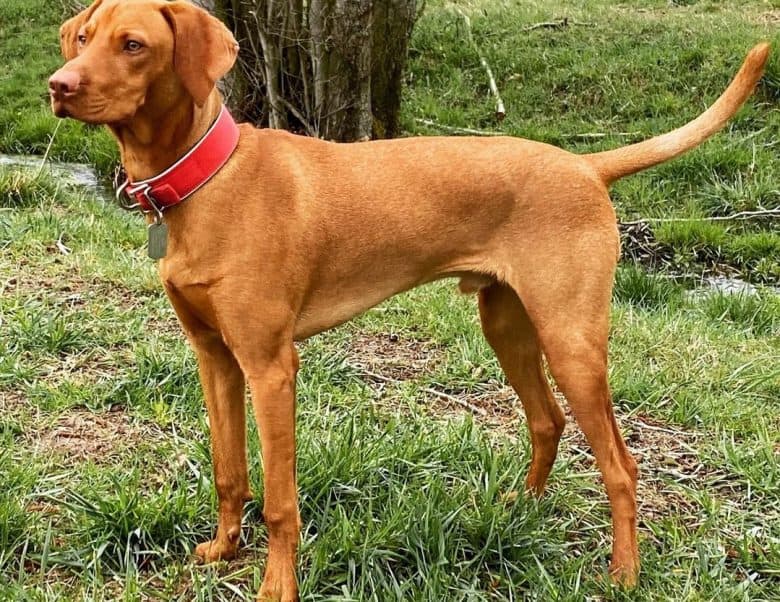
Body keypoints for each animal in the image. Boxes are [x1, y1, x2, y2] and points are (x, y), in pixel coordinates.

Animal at [47, 1, 768, 596]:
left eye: (133, 44)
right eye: (82, 37)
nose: (59, 85)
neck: (207, 181)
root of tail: (586, 166)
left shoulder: (271, 367)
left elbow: (280, 499)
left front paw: (277, 586)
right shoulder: (215, 357)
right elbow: (230, 471)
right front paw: (224, 551)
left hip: (572, 342)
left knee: (621, 464)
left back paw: (623, 573)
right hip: (507, 324)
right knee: (547, 422)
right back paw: (522, 509)